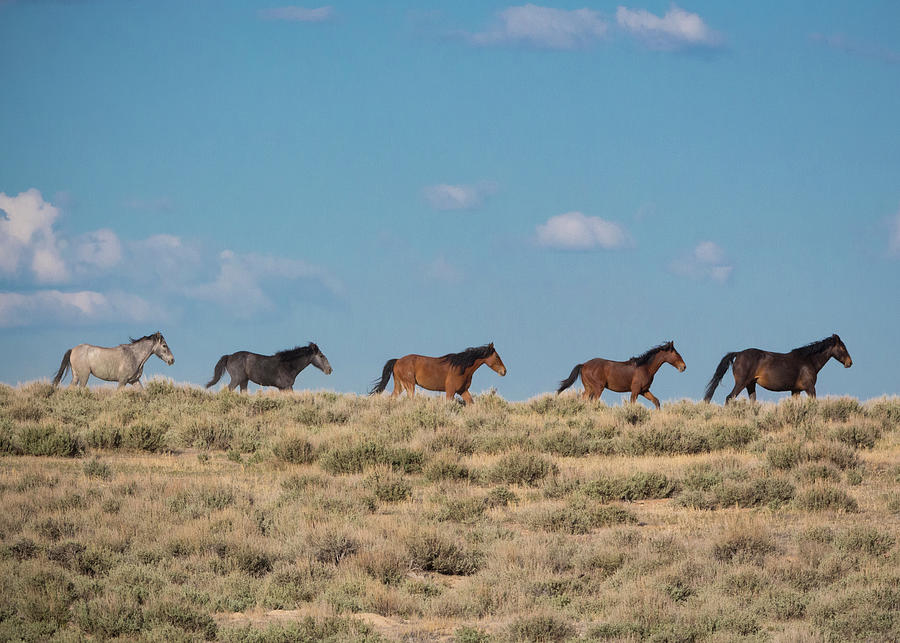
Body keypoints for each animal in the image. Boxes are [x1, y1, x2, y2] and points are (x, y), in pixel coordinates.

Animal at [368, 344, 506, 406]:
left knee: (392, 398)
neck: (462, 367)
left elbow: (471, 403)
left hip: (400, 385)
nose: (504, 371)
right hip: (409, 385)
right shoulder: (450, 391)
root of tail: (397, 361)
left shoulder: (462, 391)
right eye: (497, 357)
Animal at [556, 340, 684, 410]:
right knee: (593, 401)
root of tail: (583, 365)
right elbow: (632, 404)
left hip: (589, 388)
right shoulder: (635, 391)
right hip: (598, 388)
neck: (645, 367)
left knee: (584, 399)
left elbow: (656, 401)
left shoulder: (644, 390)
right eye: (676, 353)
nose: (683, 367)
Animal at [704, 334, 852, 406]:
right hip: (741, 383)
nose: (849, 363)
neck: (808, 361)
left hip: (750, 384)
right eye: (843, 347)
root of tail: (738, 353)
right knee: (729, 398)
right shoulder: (810, 388)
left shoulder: (795, 390)